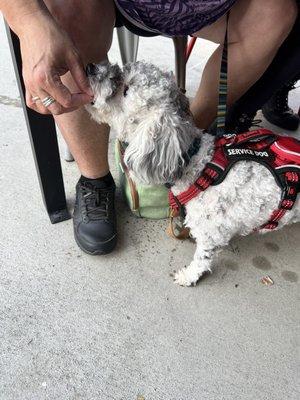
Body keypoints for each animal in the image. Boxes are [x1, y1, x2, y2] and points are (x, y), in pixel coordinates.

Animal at [85, 61, 300, 286]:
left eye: (125, 89)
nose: (90, 67)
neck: (197, 164)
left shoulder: (211, 232)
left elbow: (201, 259)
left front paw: (188, 276)